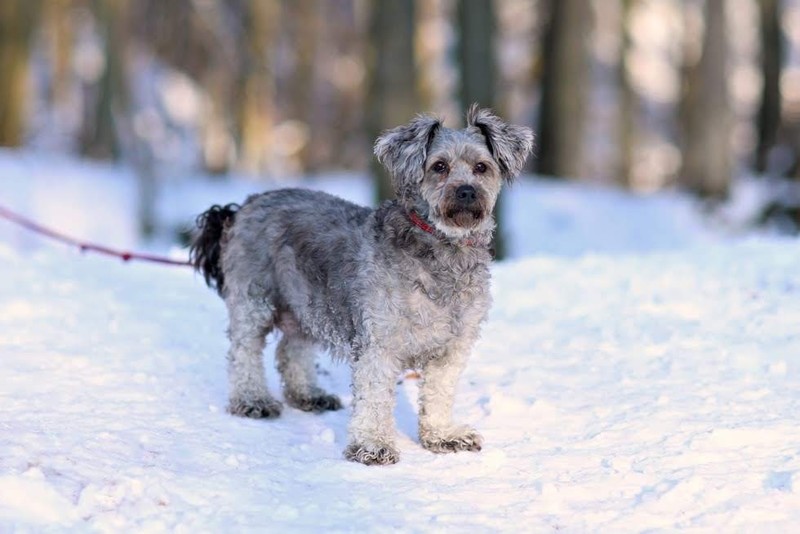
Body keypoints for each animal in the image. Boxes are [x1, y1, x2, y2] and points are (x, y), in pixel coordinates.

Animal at [191, 105, 536, 464]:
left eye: (481, 167)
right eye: (439, 166)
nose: (467, 191)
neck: (441, 248)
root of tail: (243, 206)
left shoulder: (452, 348)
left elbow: (439, 394)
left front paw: (442, 435)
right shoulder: (379, 342)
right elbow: (374, 397)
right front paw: (372, 445)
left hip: (306, 305)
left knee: (291, 351)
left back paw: (308, 395)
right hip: (254, 302)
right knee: (243, 353)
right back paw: (252, 400)